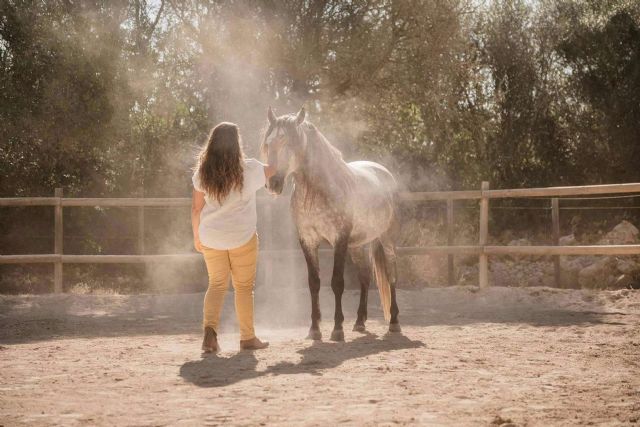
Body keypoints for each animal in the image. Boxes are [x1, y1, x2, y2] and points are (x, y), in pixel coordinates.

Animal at [261, 107, 401, 341]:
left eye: (289, 142)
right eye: (268, 143)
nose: (273, 183)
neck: (316, 192)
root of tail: (384, 172)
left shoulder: (339, 240)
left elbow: (337, 282)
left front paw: (337, 329)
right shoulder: (308, 241)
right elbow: (314, 283)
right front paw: (314, 330)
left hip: (387, 237)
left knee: (391, 275)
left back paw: (394, 323)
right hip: (357, 245)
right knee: (365, 276)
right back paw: (359, 323)